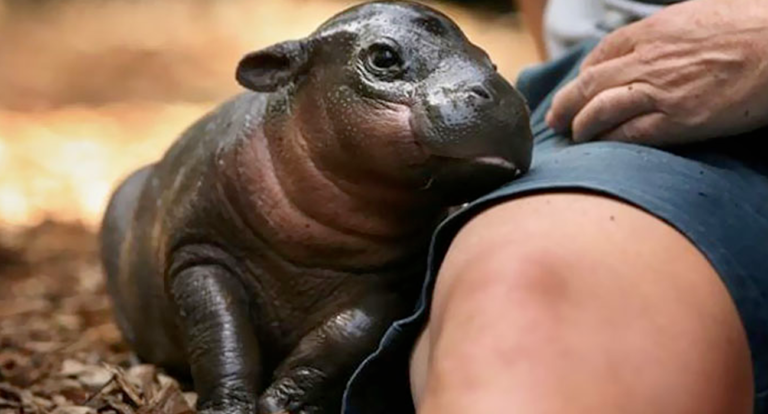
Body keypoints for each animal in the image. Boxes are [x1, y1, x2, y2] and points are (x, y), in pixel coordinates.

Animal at [99, 2, 532, 413]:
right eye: (384, 57)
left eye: (489, 59)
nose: (500, 93)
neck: (310, 249)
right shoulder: (199, 255)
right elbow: (220, 335)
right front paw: (229, 407)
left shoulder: (392, 282)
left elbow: (345, 337)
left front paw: (283, 403)